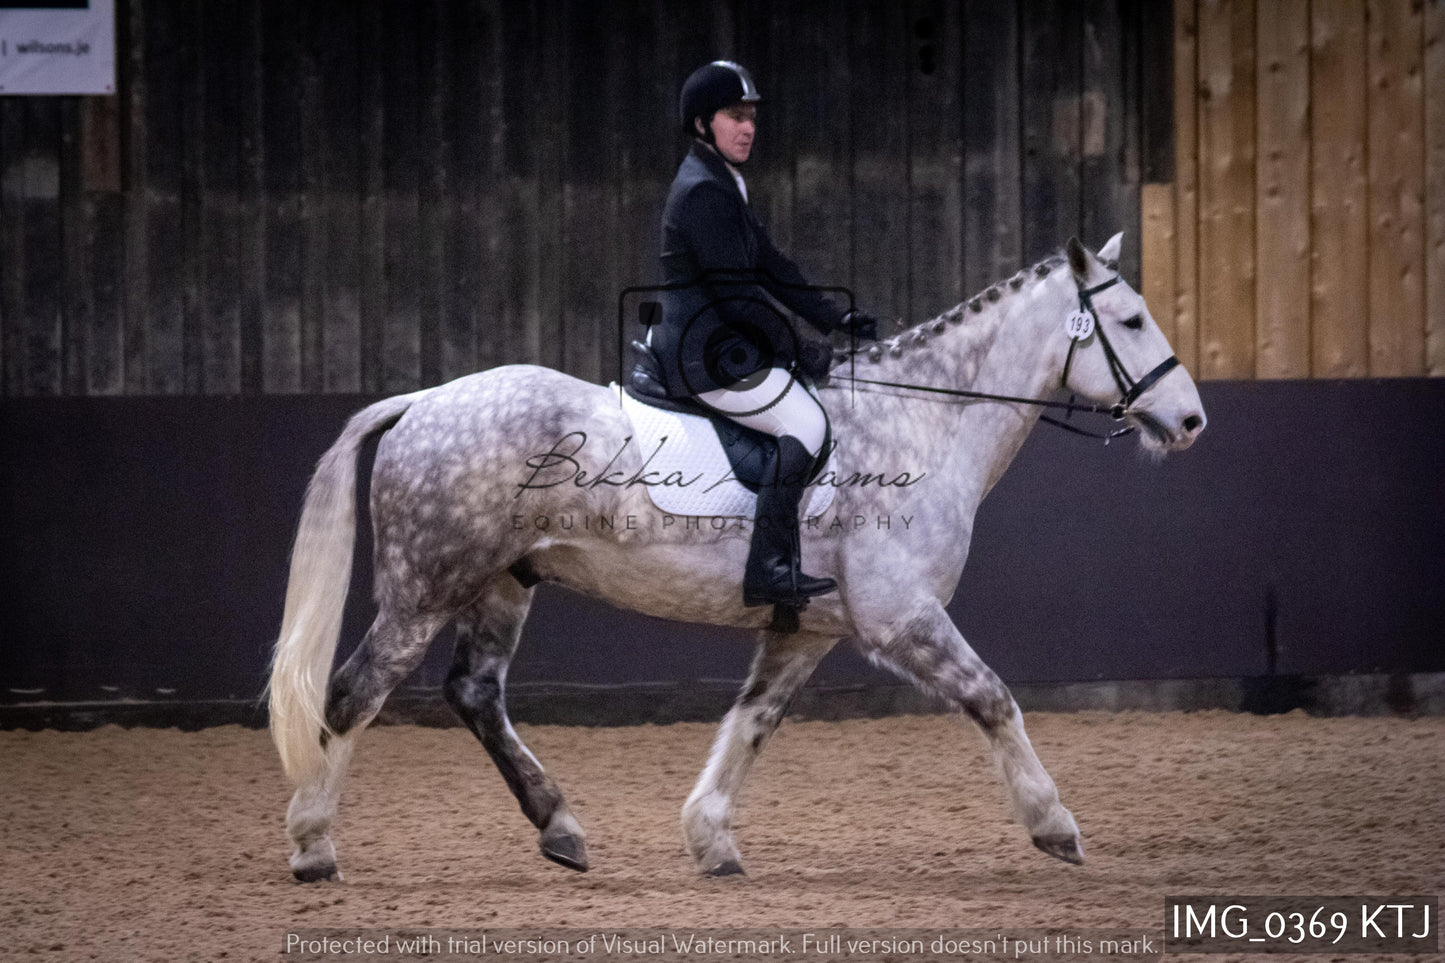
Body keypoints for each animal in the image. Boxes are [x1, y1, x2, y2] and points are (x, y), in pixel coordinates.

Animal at [268, 232, 1208, 879]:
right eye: (1130, 320)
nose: (1191, 420)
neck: (924, 418)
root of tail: (423, 398)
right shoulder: (902, 616)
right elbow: (993, 699)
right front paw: (1055, 825)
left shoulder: (809, 627)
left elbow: (751, 721)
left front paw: (708, 836)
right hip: (425, 586)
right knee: (354, 693)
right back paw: (313, 846)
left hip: (503, 581)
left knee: (474, 693)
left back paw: (560, 827)